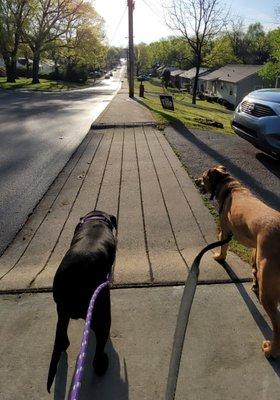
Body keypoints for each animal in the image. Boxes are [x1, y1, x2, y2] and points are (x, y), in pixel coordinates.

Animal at [46, 211, 116, 392]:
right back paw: (101, 365)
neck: (96, 220)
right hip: (102, 312)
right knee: (99, 347)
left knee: (61, 337)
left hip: (62, 313)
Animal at [196, 164, 278, 358]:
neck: (230, 187)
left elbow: (223, 247)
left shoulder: (225, 230)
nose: (195, 180)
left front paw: (219, 257)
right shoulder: (255, 248)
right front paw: (254, 281)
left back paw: (271, 350)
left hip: (268, 295)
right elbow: (254, 265)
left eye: (203, 176)